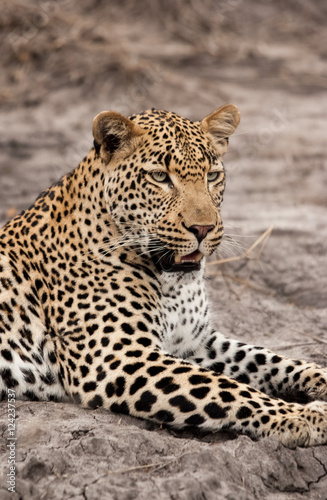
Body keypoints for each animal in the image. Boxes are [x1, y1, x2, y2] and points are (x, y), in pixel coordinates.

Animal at [0, 103, 327, 448]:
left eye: (212, 176)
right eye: (160, 177)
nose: (203, 229)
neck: (171, 285)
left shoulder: (195, 342)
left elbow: (264, 358)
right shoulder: (119, 357)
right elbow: (224, 388)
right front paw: (304, 416)